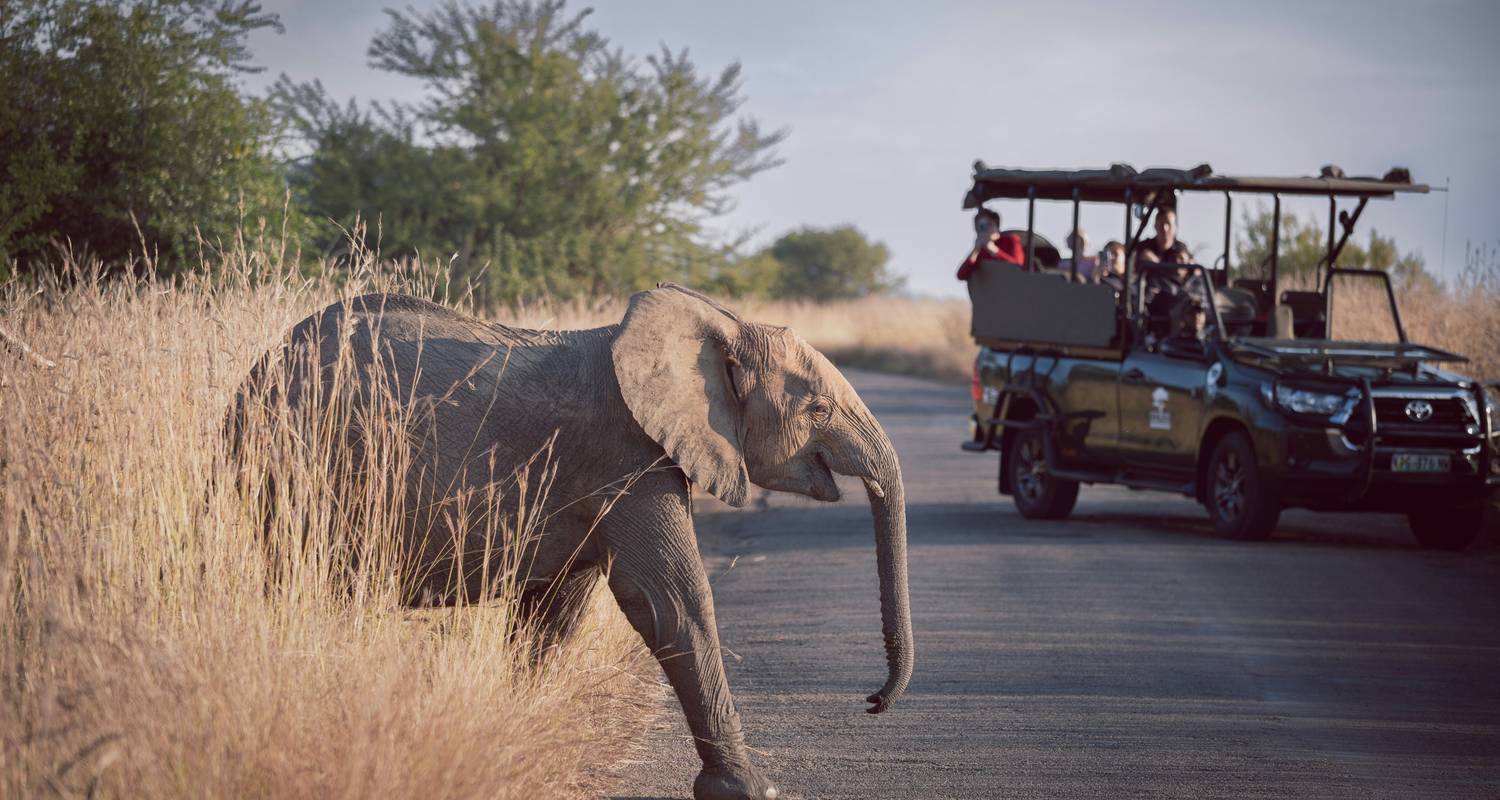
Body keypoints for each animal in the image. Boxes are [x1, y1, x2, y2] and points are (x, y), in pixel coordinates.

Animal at [229, 283, 912, 792]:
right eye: (818, 408)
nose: (872, 702)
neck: (719, 325)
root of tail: (253, 376)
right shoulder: (627, 453)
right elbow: (670, 601)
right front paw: (751, 790)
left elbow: (556, 609)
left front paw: (514, 733)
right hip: (300, 469)